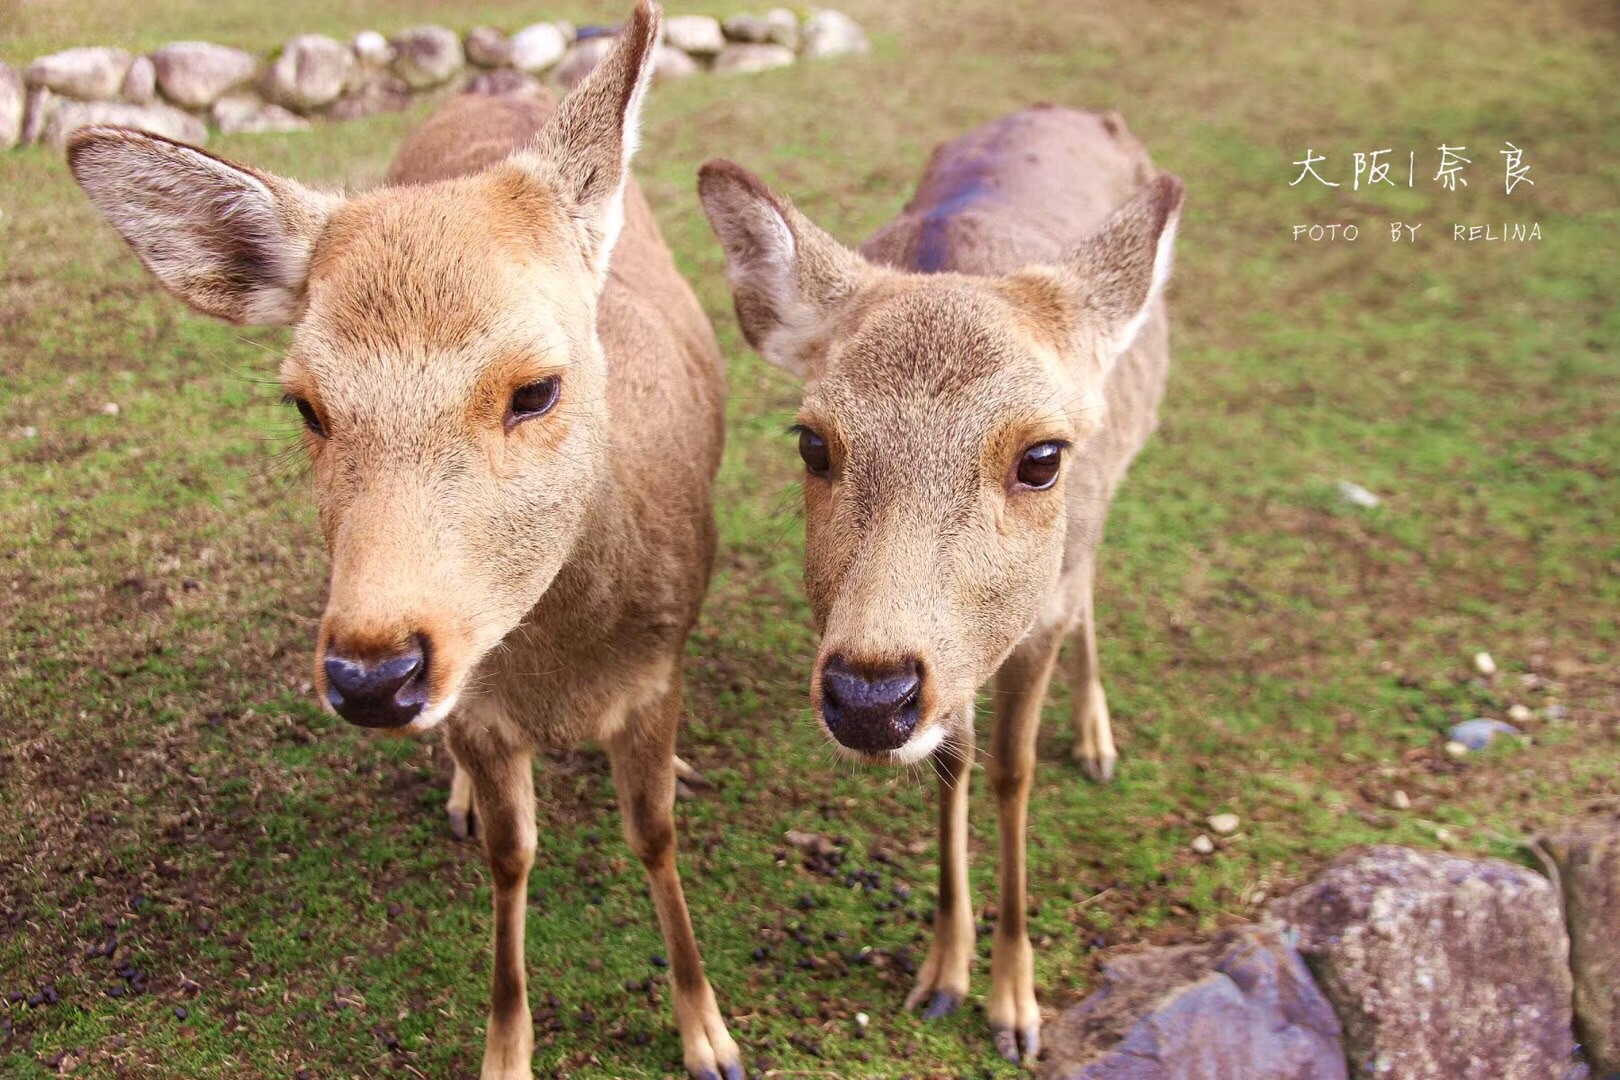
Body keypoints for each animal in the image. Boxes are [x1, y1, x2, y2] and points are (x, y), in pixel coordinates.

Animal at [64, 4, 745, 1075]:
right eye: (305, 405)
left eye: (536, 388)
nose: (372, 674)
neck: (562, 674)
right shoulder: (480, 712)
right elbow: (512, 857)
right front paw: (505, 1050)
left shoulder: (655, 670)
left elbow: (654, 836)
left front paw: (710, 1036)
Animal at [699, 105, 1192, 1068]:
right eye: (812, 442)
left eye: (1041, 456)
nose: (868, 695)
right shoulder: (953, 663)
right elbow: (953, 764)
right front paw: (942, 976)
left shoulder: (1031, 614)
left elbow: (1013, 771)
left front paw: (1016, 1009)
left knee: (1089, 584)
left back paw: (1098, 740)